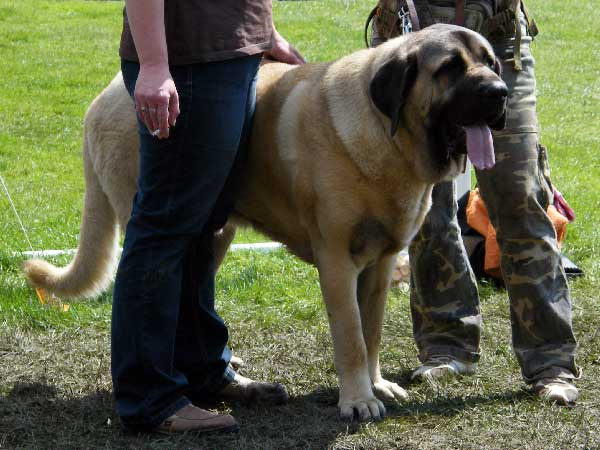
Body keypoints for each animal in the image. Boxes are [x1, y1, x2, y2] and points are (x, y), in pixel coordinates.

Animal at [25, 23, 508, 418]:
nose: (501, 92)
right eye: (449, 67)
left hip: (214, 237)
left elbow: (370, 333)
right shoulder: (337, 263)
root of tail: (101, 100)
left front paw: (376, 384)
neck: (390, 138)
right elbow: (351, 337)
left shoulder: (381, 265)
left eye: (490, 62)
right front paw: (357, 400)